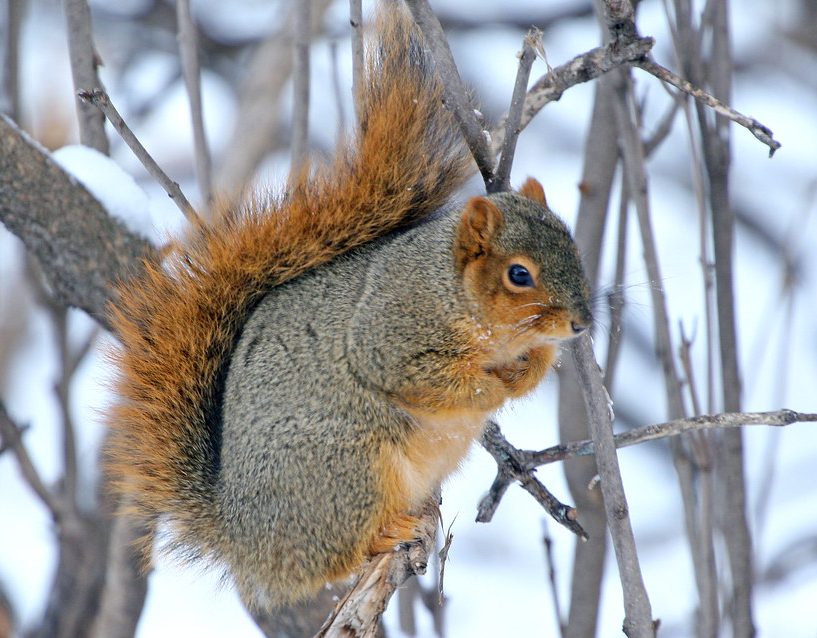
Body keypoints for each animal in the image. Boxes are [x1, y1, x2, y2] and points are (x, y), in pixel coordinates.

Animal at [108, 7, 592, 612]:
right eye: (519, 274)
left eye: (573, 244)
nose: (582, 323)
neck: (459, 298)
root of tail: (240, 536)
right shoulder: (390, 334)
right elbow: (425, 379)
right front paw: (491, 389)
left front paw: (527, 372)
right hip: (350, 469)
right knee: (330, 559)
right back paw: (383, 535)